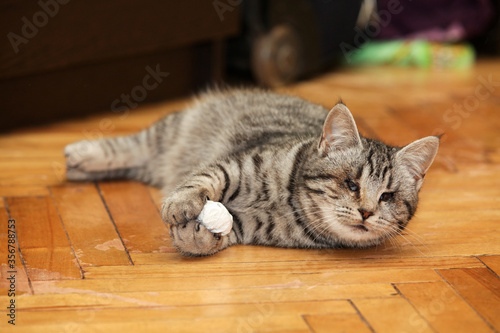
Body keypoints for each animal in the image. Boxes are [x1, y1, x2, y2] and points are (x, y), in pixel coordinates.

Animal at [64, 89, 440, 255]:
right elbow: (204, 179)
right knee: (130, 146)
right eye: (350, 183)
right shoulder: (237, 164)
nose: (366, 212)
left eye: (387, 196)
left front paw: (194, 236)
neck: (289, 204)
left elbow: (221, 233)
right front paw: (181, 204)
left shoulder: (252, 226)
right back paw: (80, 155)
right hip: (169, 132)